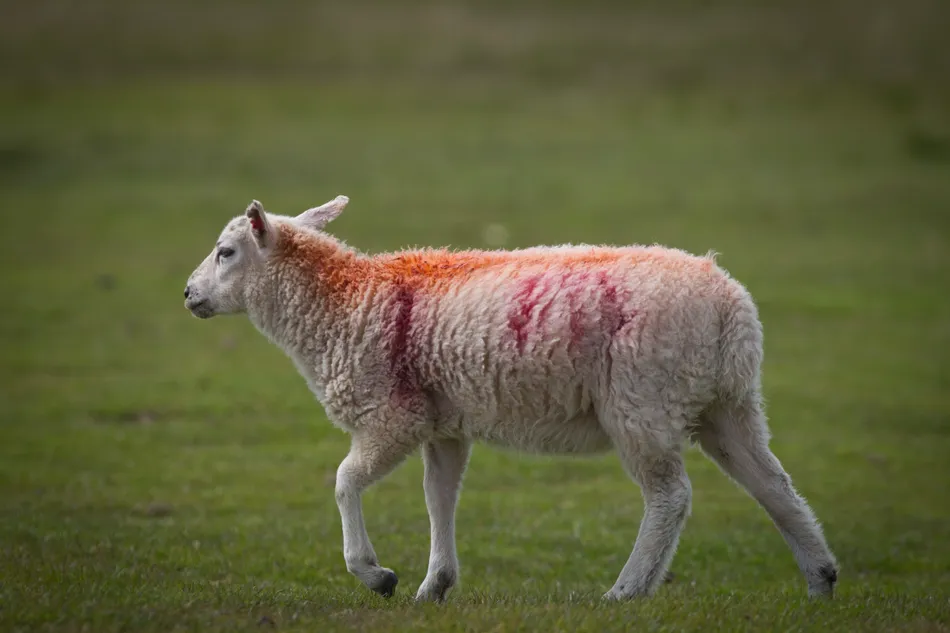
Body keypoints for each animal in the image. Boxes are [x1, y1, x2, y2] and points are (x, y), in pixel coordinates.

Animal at [183, 196, 839, 603]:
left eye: (226, 252)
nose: (188, 294)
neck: (343, 300)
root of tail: (730, 305)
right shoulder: (442, 421)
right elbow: (439, 499)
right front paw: (435, 586)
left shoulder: (394, 413)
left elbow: (345, 481)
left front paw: (375, 574)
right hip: (727, 403)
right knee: (774, 486)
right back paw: (820, 579)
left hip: (644, 400)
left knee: (670, 497)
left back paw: (626, 590)